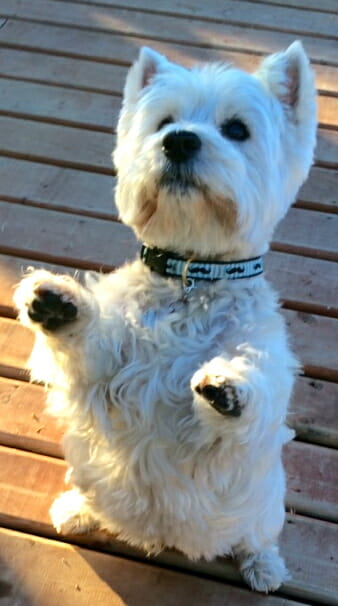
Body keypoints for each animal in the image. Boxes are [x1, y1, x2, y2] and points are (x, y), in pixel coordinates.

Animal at [14, 44, 316, 592]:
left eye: (237, 129)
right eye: (165, 122)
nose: (179, 141)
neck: (190, 275)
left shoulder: (257, 370)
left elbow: (250, 385)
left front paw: (228, 387)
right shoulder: (109, 369)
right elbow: (89, 346)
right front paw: (56, 303)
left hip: (264, 505)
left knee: (255, 537)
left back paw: (264, 568)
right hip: (92, 475)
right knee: (91, 497)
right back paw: (76, 511)